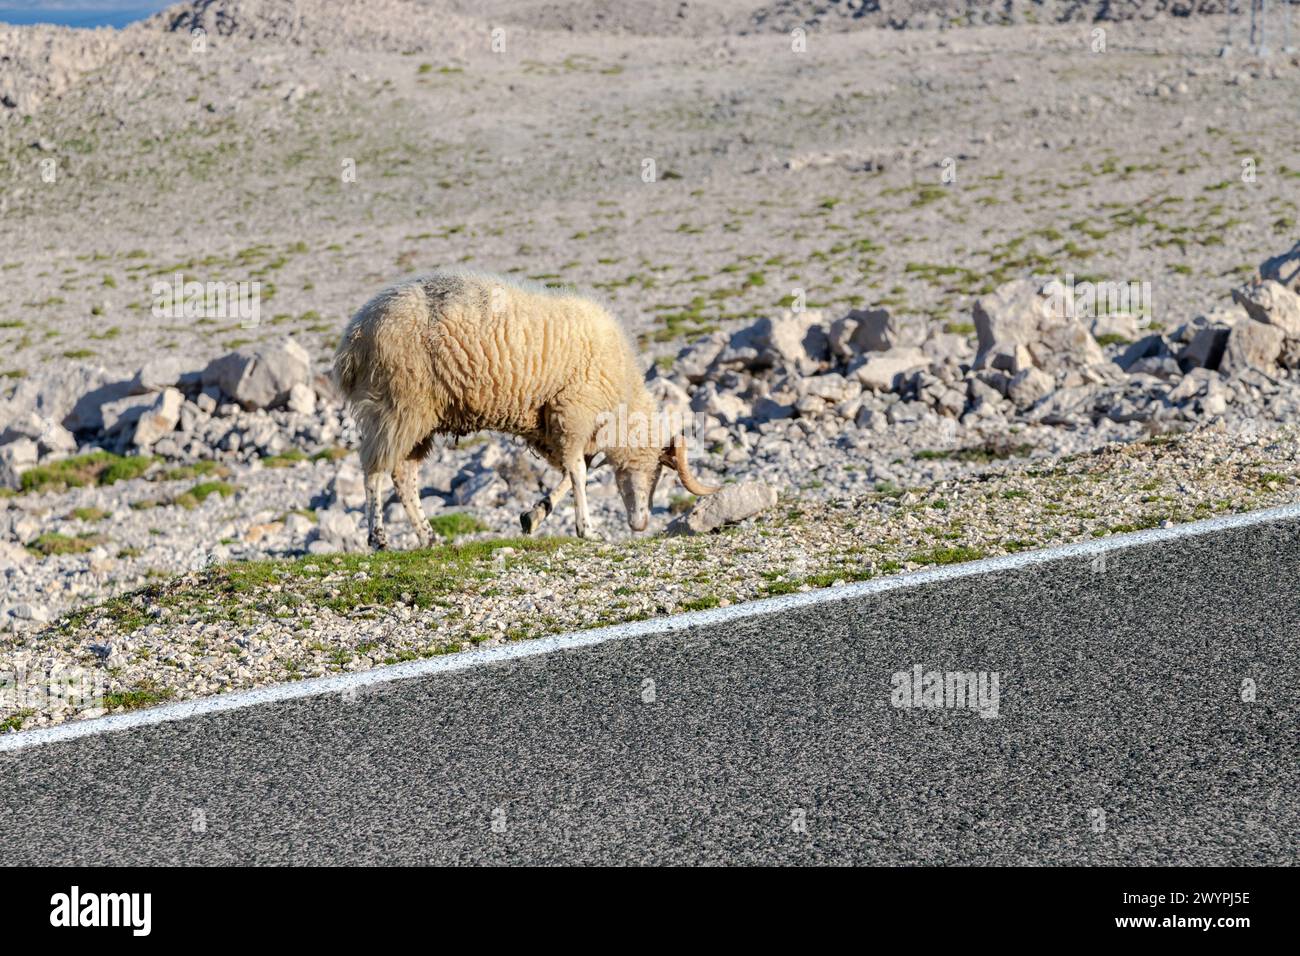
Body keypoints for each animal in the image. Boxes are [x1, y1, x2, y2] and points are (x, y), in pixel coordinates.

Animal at [332, 273, 722, 548]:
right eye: (653, 471)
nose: (640, 524)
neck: (622, 392)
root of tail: (354, 336)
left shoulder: (562, 422)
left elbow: (570, 473)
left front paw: (533, 516)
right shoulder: (573, 411)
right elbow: (579, 472)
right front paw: (587, 529)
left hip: (420, 417)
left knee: (403, 475)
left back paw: (429, 538)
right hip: (396, 405)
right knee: (375, 470)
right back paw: (378, 538)